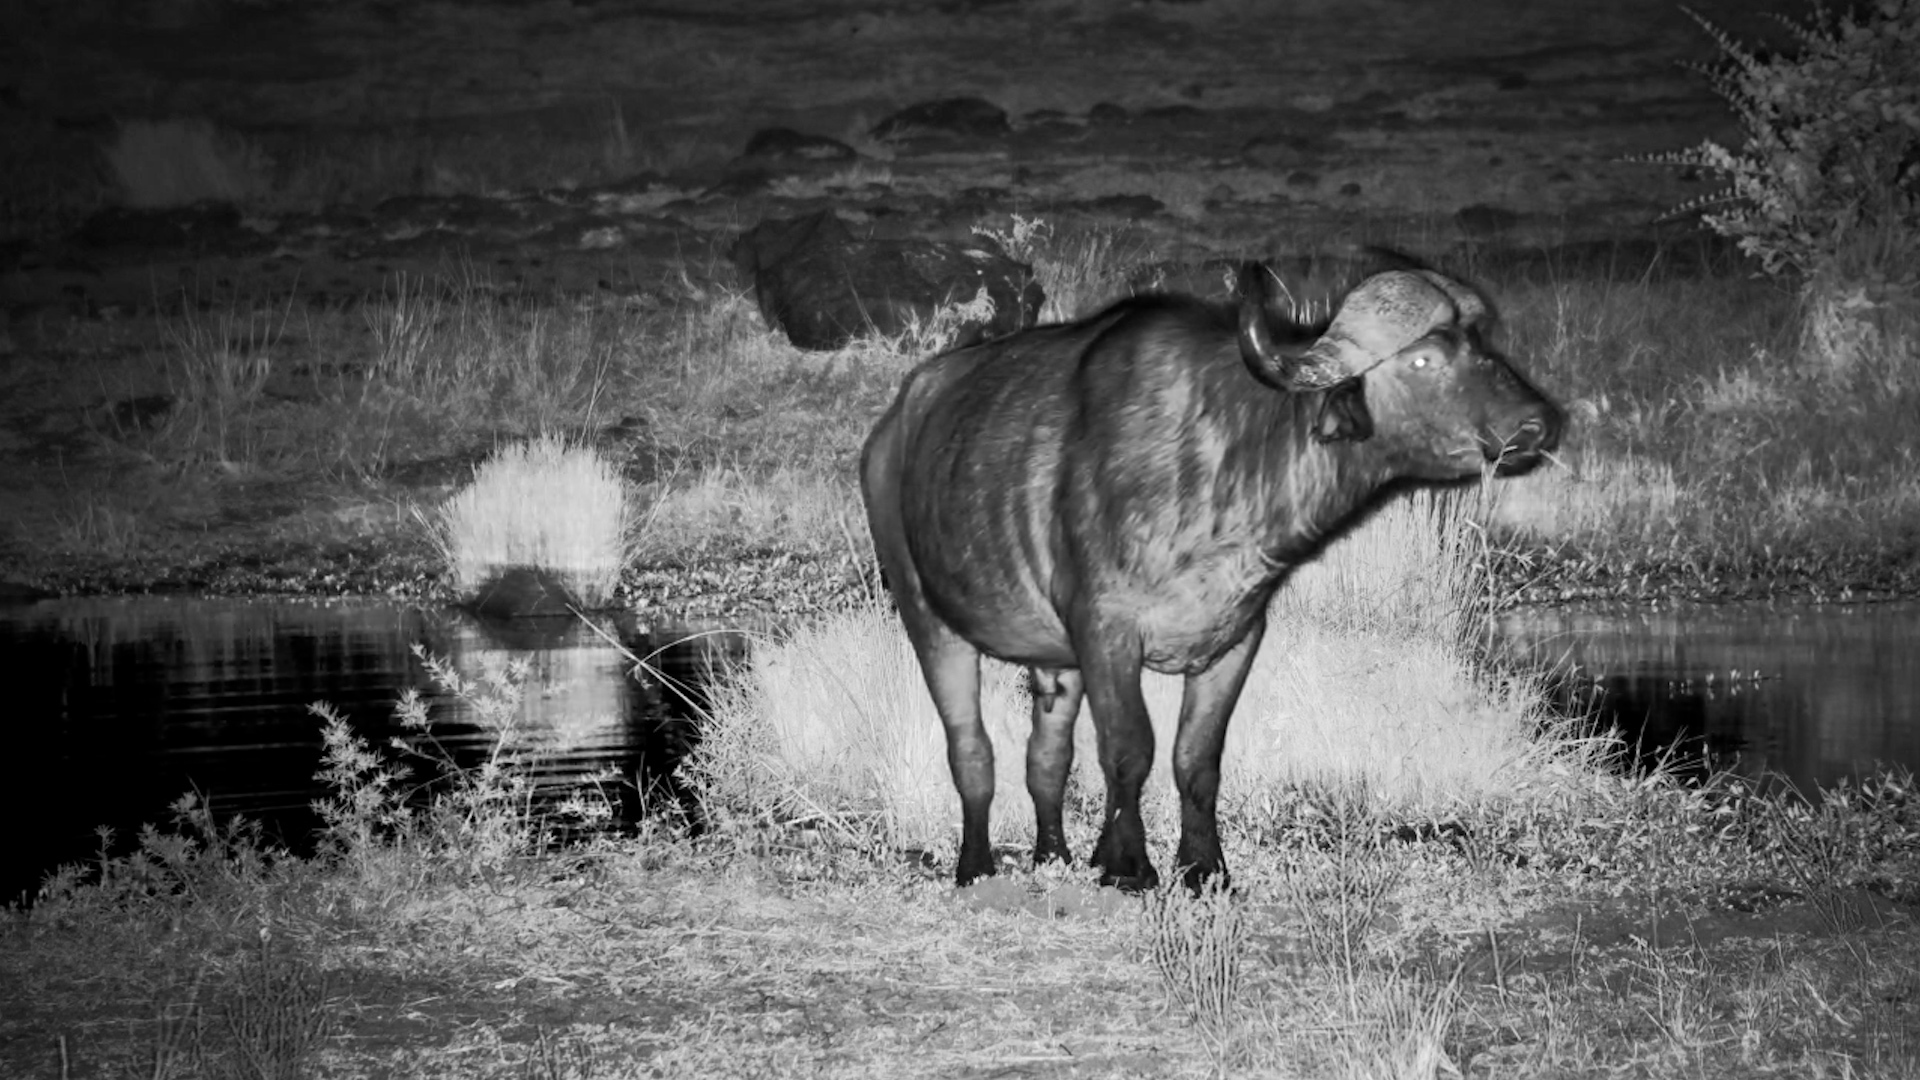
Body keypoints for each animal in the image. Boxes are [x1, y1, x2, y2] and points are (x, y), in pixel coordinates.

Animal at [860, 263, 1562, 891]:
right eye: (1423, 360)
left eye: (1484, 346)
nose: (1536, 424)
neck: (1229, 461)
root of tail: (891, 431)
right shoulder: (1107, 632)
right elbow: (1129, 749)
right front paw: (1128, 865)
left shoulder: (1236, 638)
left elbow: (1195, 759)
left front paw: (1203, 867)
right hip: (929, 620)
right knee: (971, 749)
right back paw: (975, 864)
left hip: (1053, 663)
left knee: (1047, 756)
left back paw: (1051, 855)